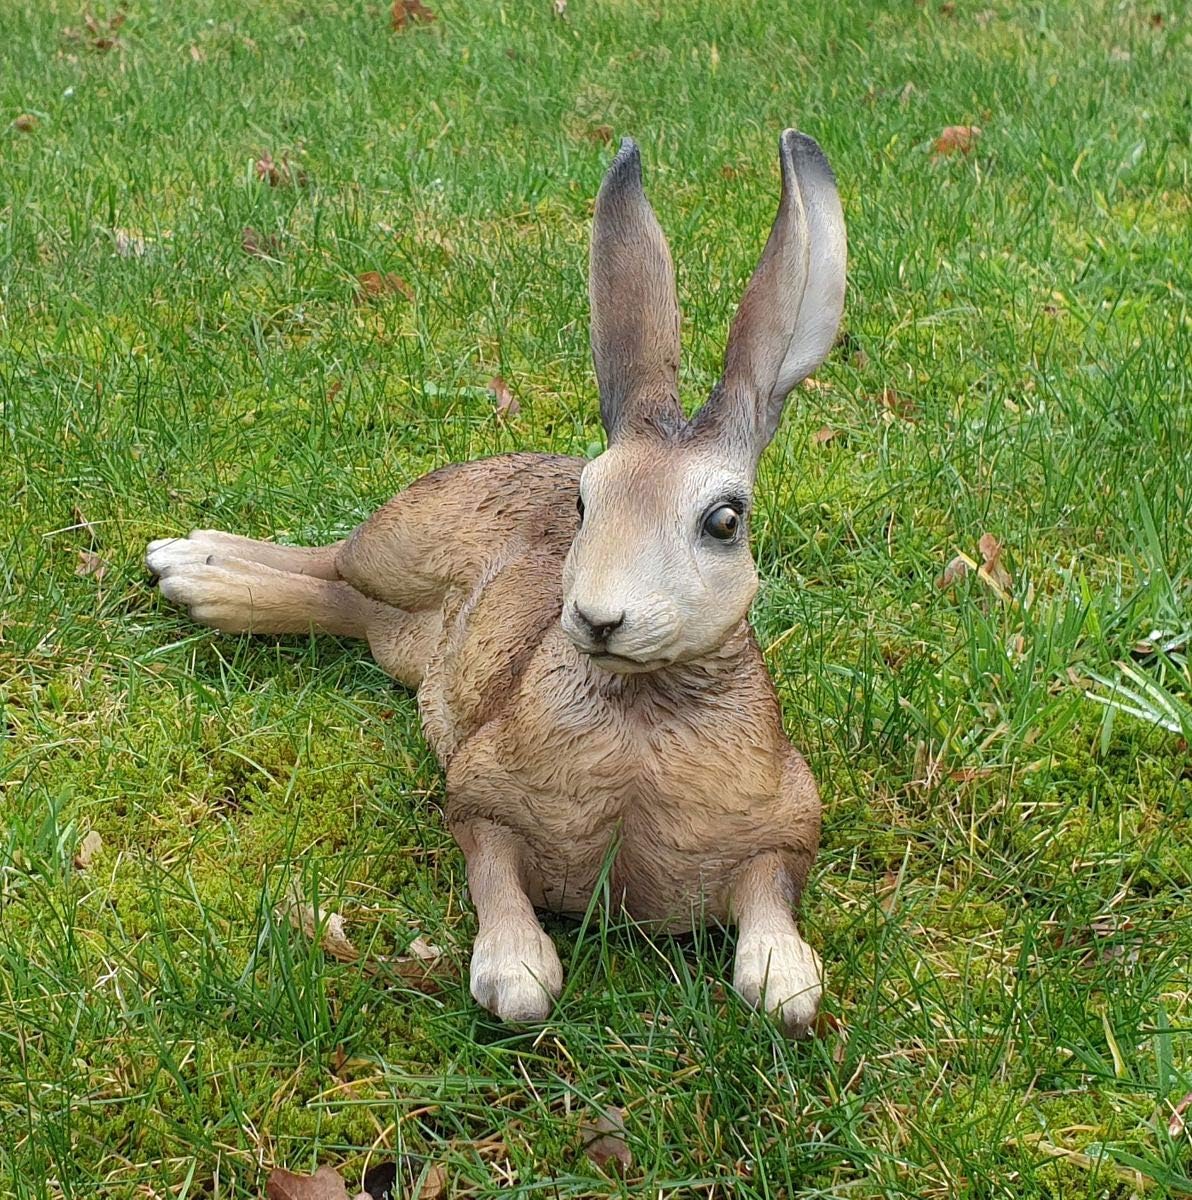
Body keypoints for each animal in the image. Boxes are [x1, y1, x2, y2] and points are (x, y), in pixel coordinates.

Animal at [145, 129, 846, 1035]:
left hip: (398, 632)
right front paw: (515, 973)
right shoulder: (479, 796)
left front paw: (783, 981)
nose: (598, 619)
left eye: (725, 522)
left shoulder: (787, 828)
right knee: (328, 561)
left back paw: (202, 575)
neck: (641, 708)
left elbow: (771, 896)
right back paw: (188, 563)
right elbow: (491, 871)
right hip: (400, 542)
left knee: (340, 604)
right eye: (583, 501)